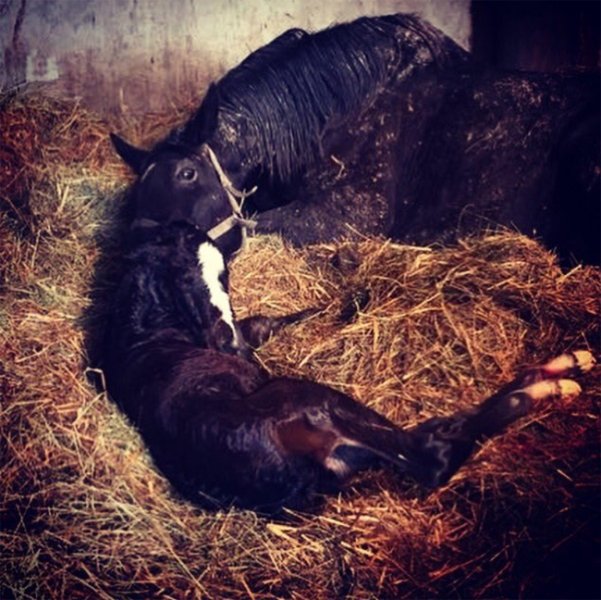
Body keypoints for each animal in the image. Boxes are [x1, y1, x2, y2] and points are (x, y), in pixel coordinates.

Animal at [102, 215, 595, 512]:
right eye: (183, 274)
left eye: (225, 273)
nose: (225, 341)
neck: (147, 335)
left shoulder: (249, 334)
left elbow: (282, 318)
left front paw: (354, 298)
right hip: (309, 395)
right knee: (432, 452)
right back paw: (556, 380)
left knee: (437, 432)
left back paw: (568, 365)